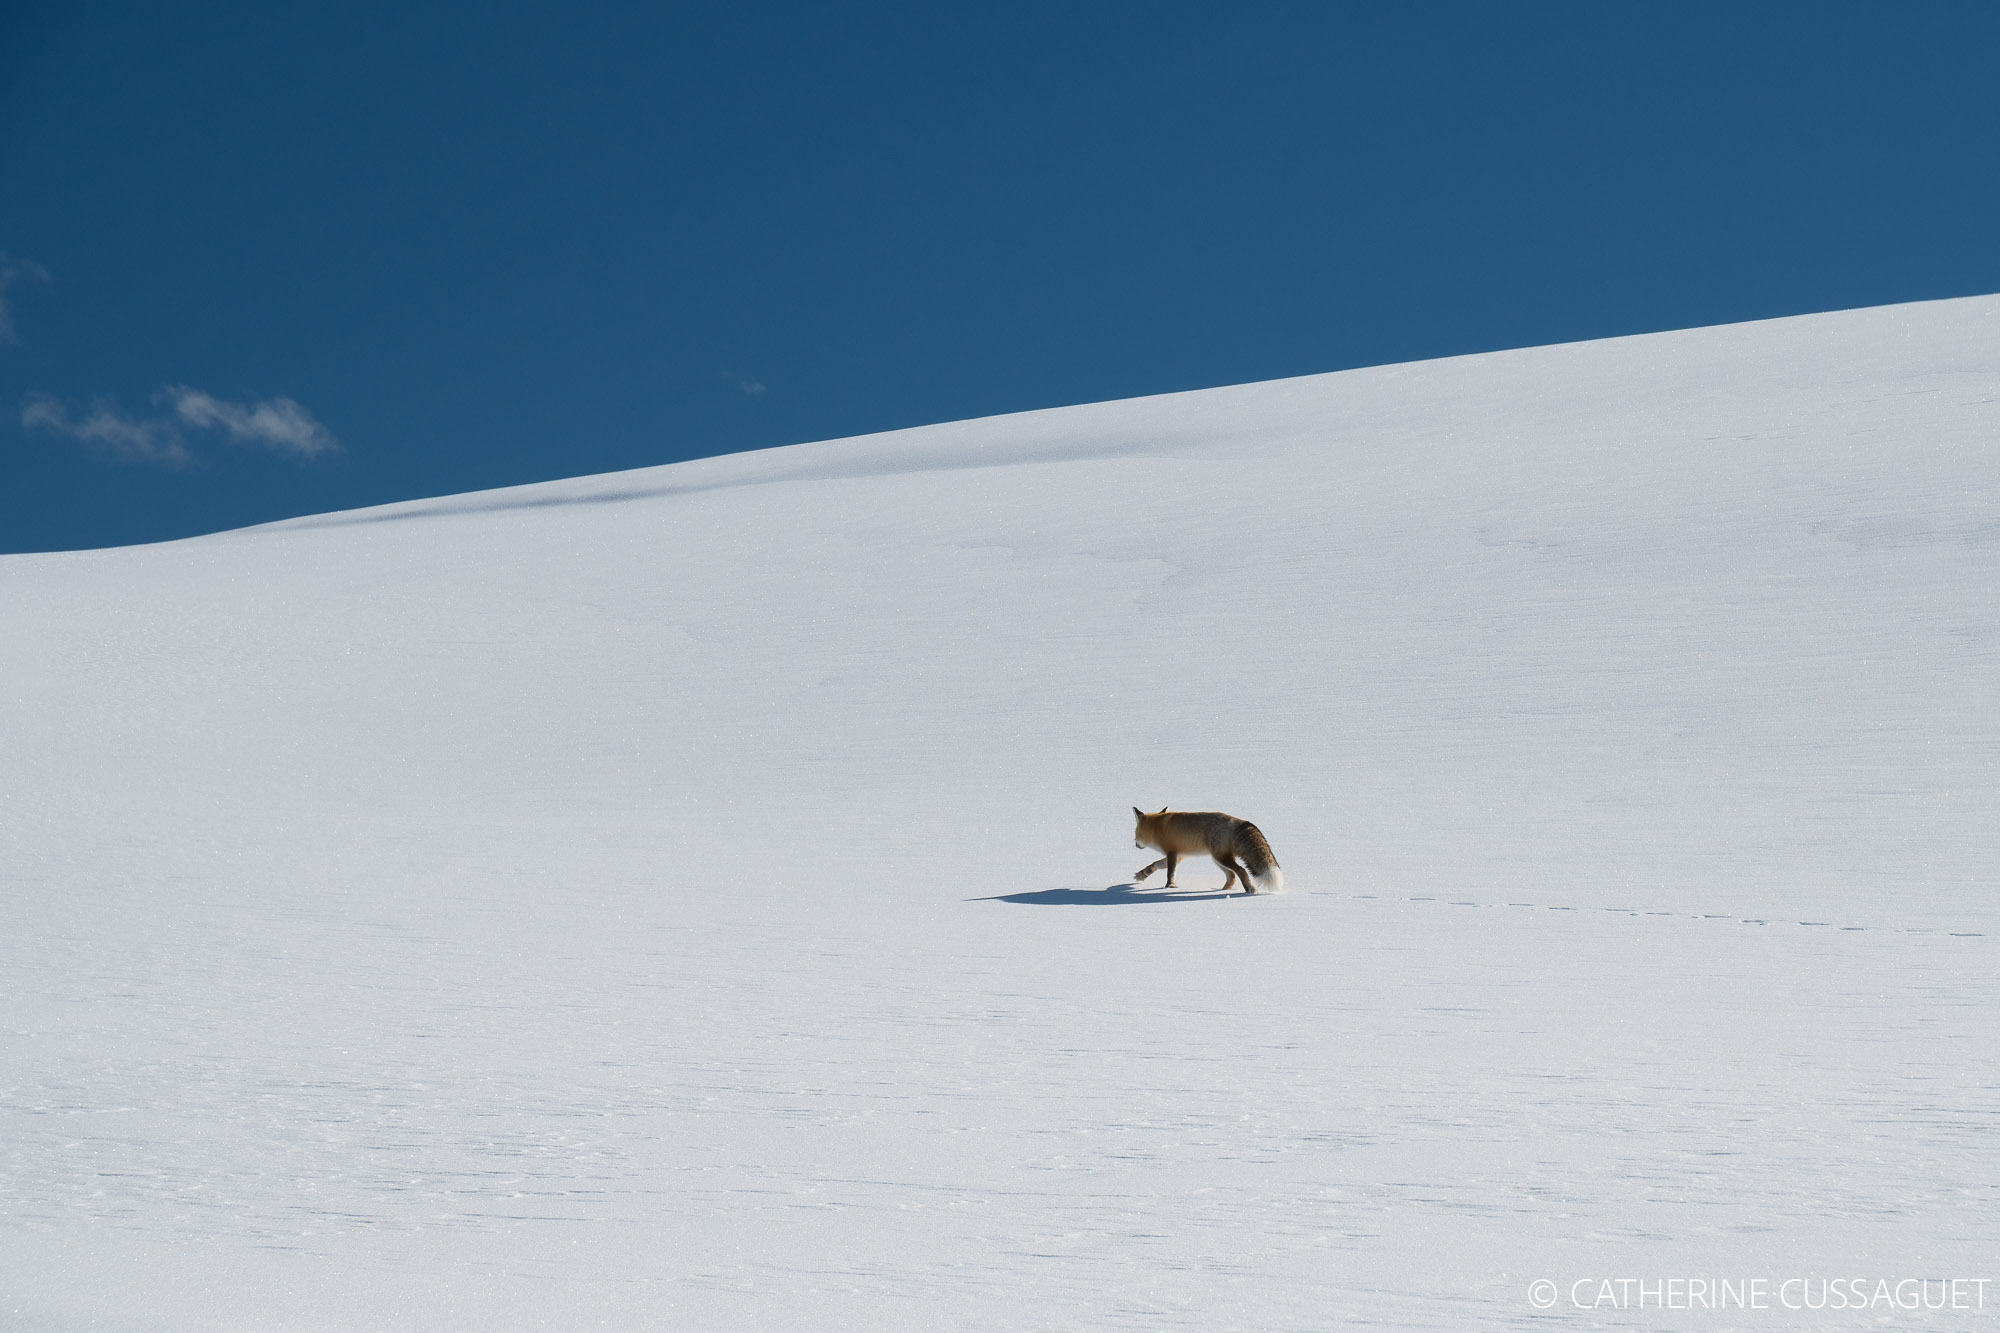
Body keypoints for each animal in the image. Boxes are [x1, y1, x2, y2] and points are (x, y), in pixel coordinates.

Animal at [1132, 806, 1283, 895]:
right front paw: (1142, 874)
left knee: (1240, 870)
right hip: (1217, 859)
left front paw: (1169, 886)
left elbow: (1170, 873)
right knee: (1231, 875)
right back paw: (1222, 890)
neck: (1158, 827)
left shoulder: (1172, 853)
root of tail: (1236, 821)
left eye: (1135, 833)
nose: (1135, 844)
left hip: (1220, 858)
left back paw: (1249, 889)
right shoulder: (1179, 856)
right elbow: (1155, 865)